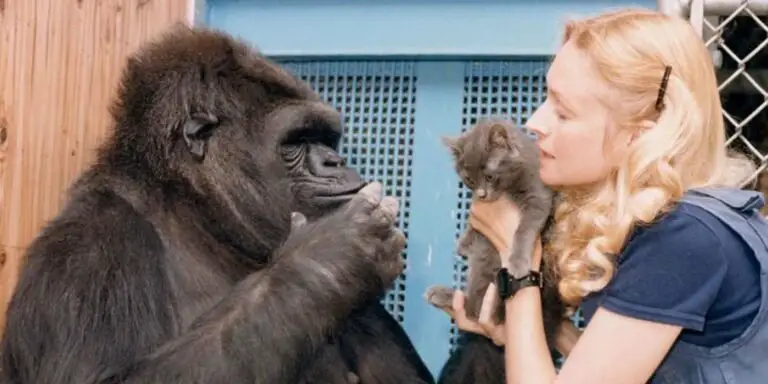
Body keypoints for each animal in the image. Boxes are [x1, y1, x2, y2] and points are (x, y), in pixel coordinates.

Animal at [0, 25, 432, 382]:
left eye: (326, 139)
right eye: (296, 141)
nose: (335, 161)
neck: (196, 213)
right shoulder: (90, 247)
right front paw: (328, 260)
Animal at [426, 118, 560, 322]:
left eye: (489, 176)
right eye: (469, 180)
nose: (482, 194)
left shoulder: (538, 195)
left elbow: (524, 228)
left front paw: (517, 263)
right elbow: (472, 223)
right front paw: (463, 242)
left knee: (473, 309)